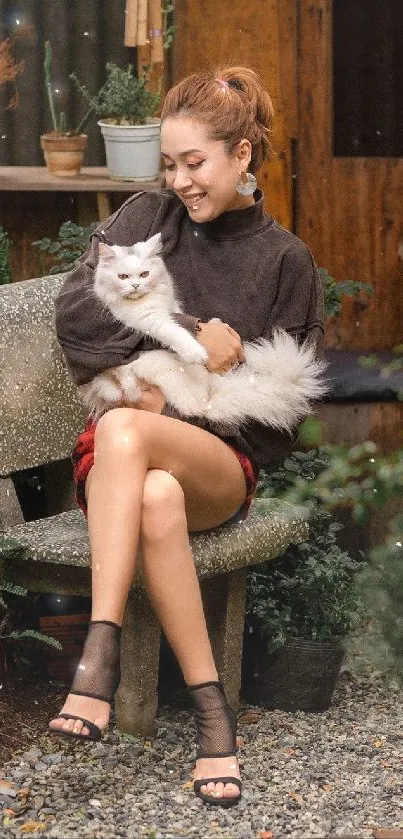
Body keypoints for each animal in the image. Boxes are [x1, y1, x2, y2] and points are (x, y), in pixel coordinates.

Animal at [79, 235, 328, 434]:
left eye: (144, 274)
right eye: (122, 277)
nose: (135, 286)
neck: (149, 300)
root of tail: (211, 399)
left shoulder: (172, 307)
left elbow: (182, 318)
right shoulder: (149, 320)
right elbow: (177, 333)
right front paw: (197, 353)